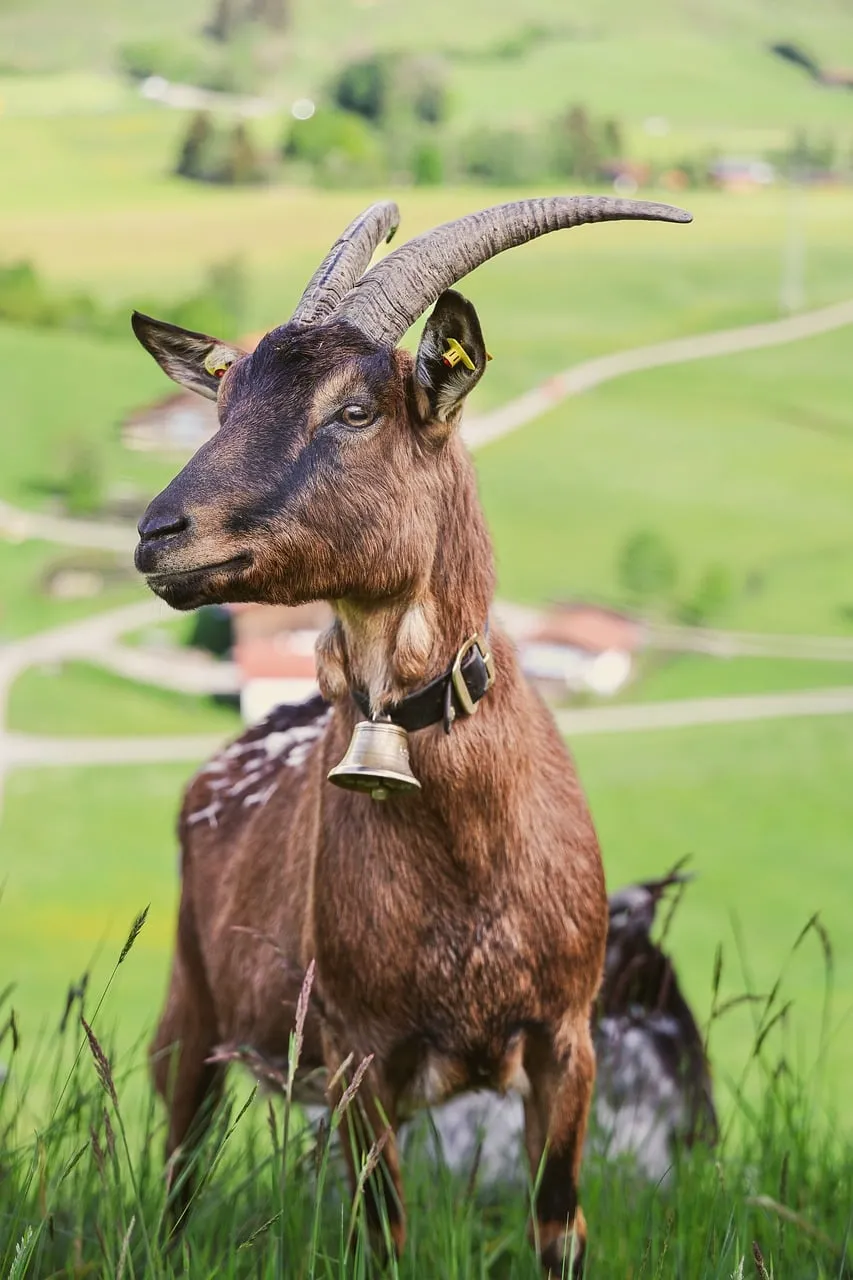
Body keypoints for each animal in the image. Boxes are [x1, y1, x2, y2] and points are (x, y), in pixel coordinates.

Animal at [132, 195, 691, 1276]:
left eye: (355, 409)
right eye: (224, 403)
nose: (158, 533)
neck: (469, 860)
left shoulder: (565, 1039)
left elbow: (558, 1224)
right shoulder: (361, 1053)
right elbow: (382, 1233)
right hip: (190, 1015)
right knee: (177, 1162)